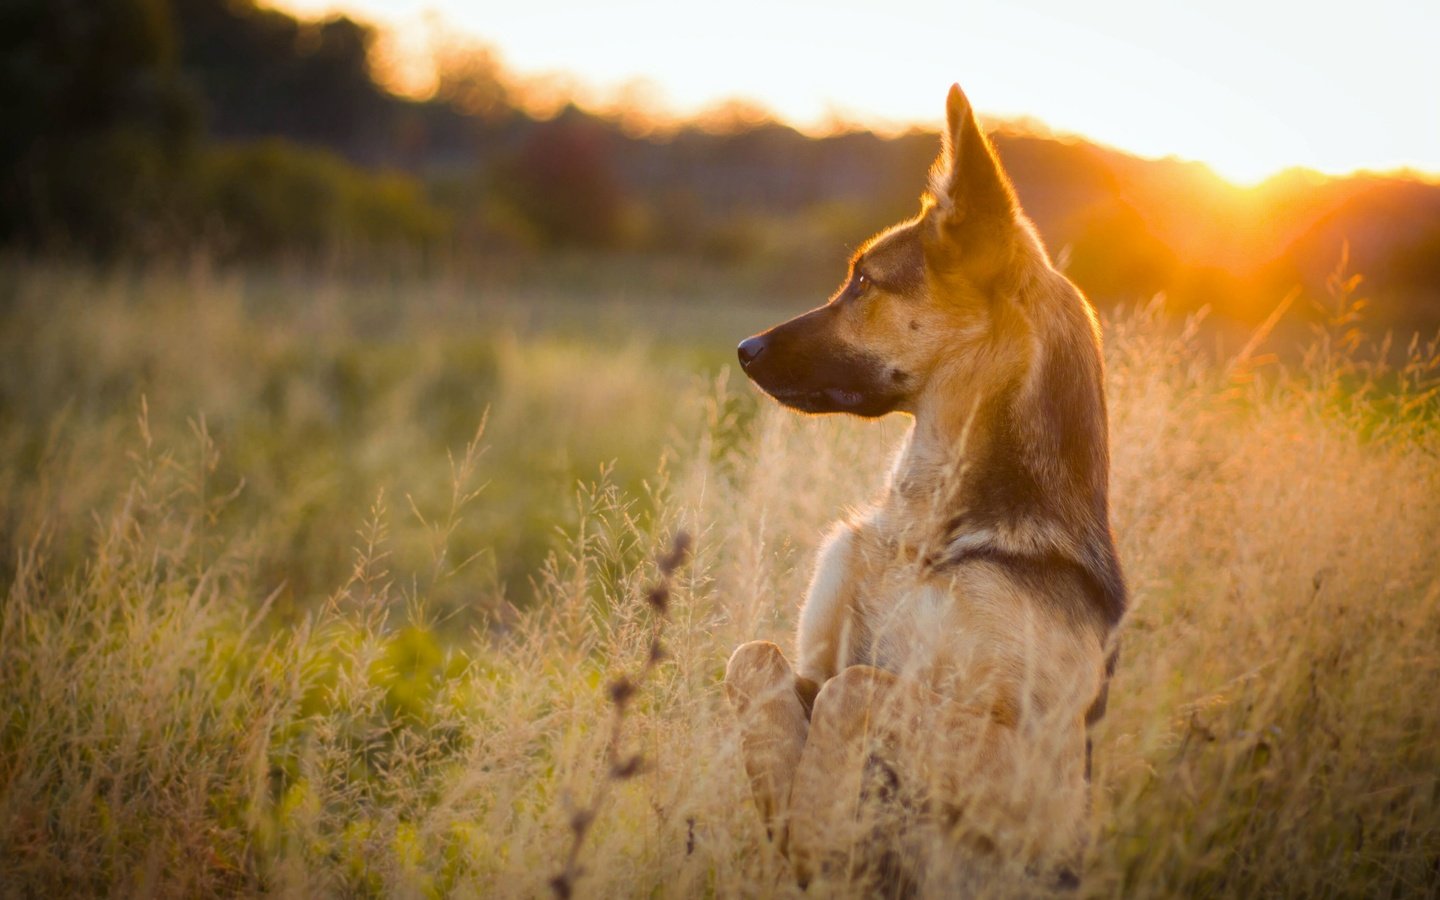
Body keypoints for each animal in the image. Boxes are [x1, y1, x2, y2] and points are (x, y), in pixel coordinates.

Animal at [725, 86, 1117, 892]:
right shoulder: (808, 665)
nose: (744, 350)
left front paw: (817, 832)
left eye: (862, 283)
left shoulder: (1050, 783)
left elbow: (857, 689)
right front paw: (795, 821)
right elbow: (758, 659)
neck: (927, 536)